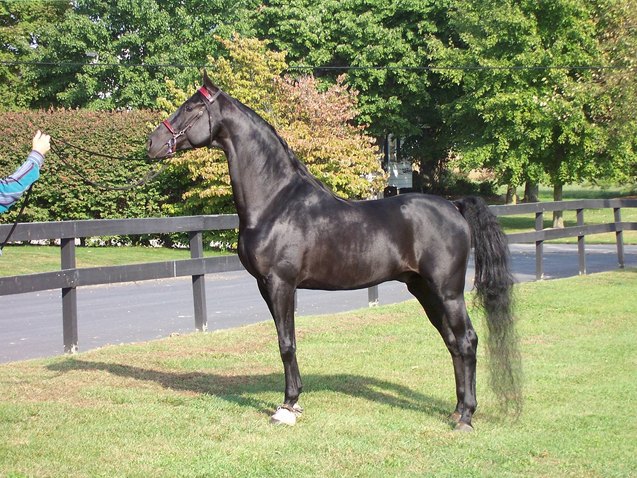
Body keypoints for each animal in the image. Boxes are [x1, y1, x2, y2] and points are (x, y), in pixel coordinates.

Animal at [149, 72, 520, 434]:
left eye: (190, 107)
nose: (152, 142)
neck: (276, 202)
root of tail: (454, 206)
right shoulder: (269, 287)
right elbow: (288, 339)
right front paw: (295, 400)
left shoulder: (280, 283)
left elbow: (286, 344)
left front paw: (287, 407)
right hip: (424, 289)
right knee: (452, 342)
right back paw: (456, 411)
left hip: (448, 291)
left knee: (467, 340)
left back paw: (467, 418)